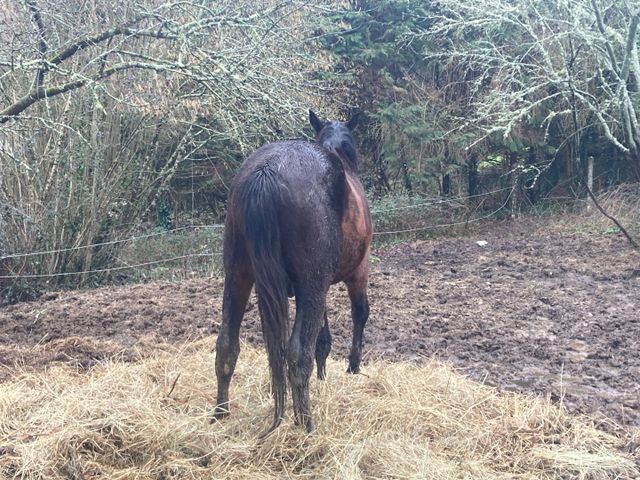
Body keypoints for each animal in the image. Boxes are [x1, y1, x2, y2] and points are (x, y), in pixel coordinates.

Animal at [213, 110, 372, 436]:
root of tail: (266, 172)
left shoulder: (313, 288)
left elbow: (323, 333)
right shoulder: (354, 273)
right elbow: (359, 314)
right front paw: (353, 366)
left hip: (238, 277)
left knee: (226, 345)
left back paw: (220, 416)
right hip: (311, 284)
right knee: (298, 355)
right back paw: (306, 426)